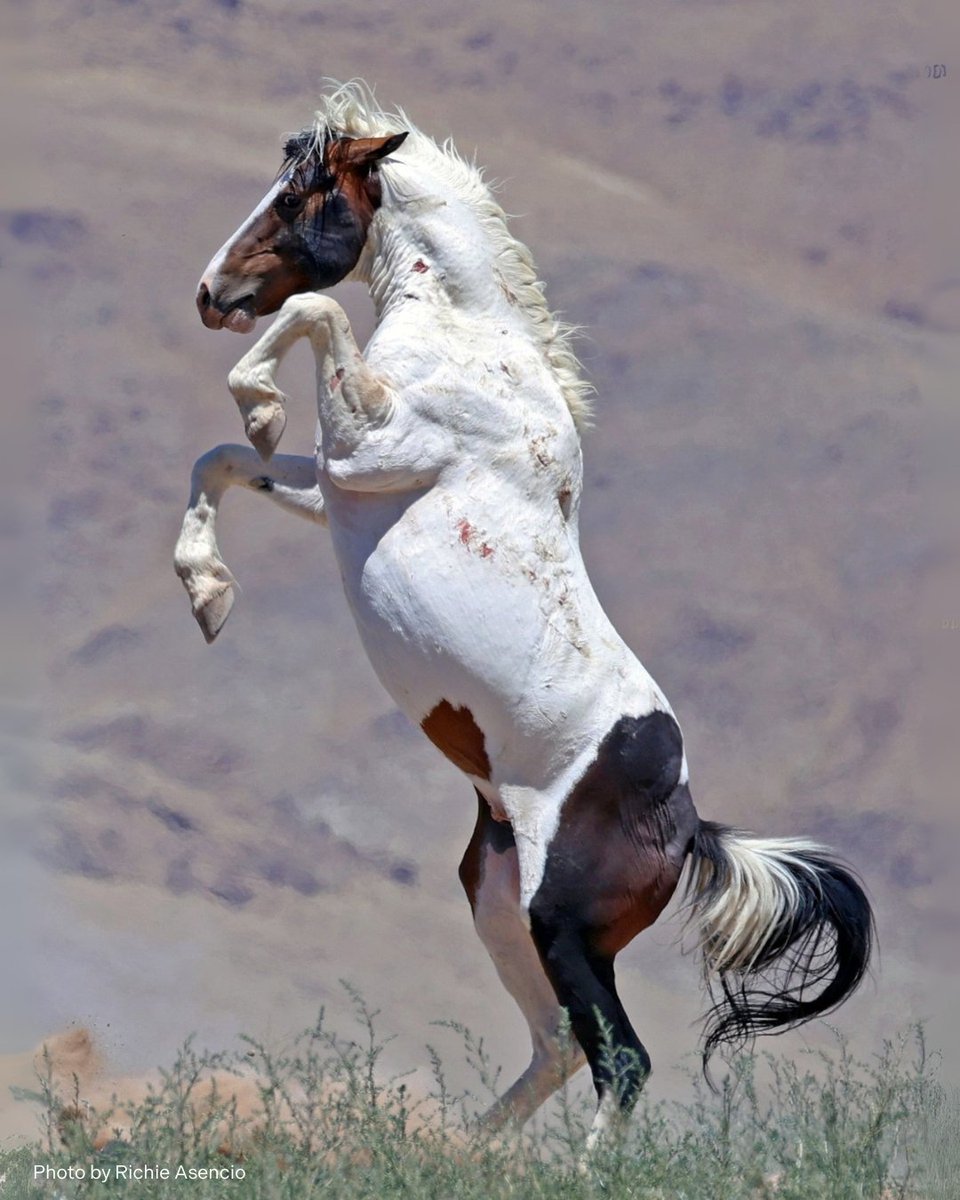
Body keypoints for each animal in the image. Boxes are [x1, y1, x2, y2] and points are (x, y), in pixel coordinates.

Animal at [175, 81, 874, 1149]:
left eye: (294, 198)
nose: (211, 295)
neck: (472, 344)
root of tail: (689, 827)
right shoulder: (340, 484)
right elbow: (220, 459)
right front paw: (206, 590)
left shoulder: (371, 447)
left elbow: (309, 312)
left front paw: (257, 402)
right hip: (501, 905)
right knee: (557, 1049)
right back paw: (465, 1159)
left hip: (562, 928)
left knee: (619, 1061)